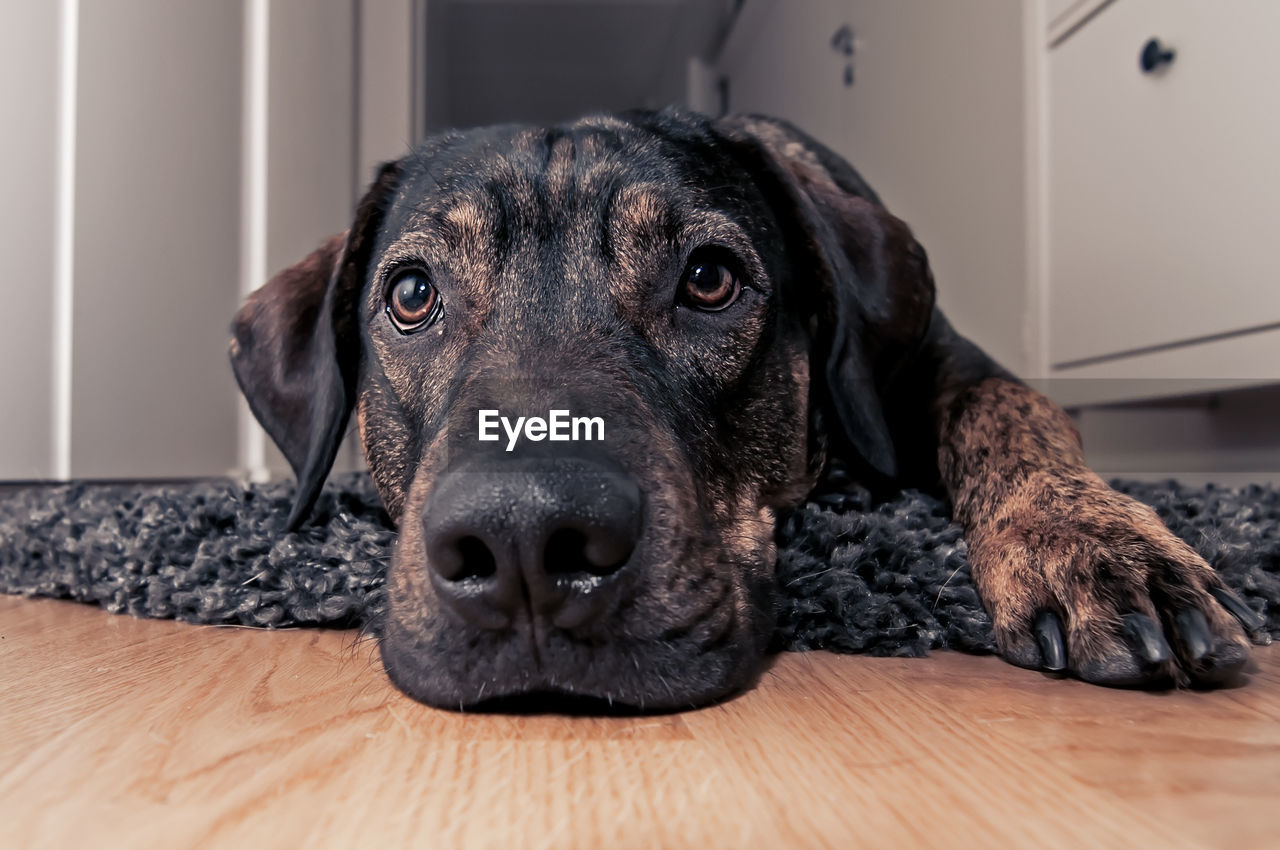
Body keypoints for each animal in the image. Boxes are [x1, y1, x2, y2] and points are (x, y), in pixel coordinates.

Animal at [227, 109, 1259, 706]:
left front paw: (1091, 546)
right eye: (412, 295)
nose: (525, 546)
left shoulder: (953, 366)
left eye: (709, 279)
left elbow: (1011, 417)